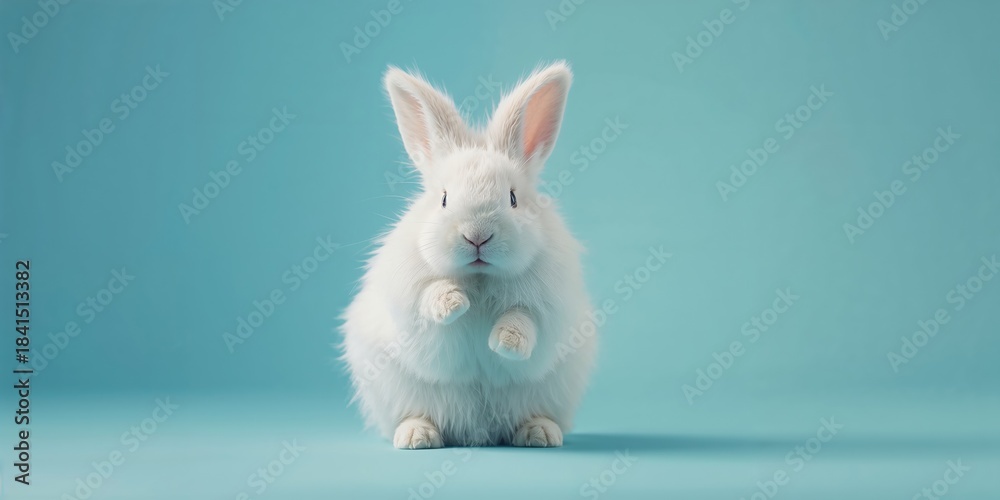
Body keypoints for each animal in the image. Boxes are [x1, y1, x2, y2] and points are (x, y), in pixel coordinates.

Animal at [340, 61, 596, 448]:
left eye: (513, 198)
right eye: (444, 198)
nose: (477, 235)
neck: (479, 276)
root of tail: (478, 431)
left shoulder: (548, 307)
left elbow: (524, 319)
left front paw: (505, 341)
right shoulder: (409, 294)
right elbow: (430, 296)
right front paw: (453, 303)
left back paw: (539, 433)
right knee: (415, 414)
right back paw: (416, 436)